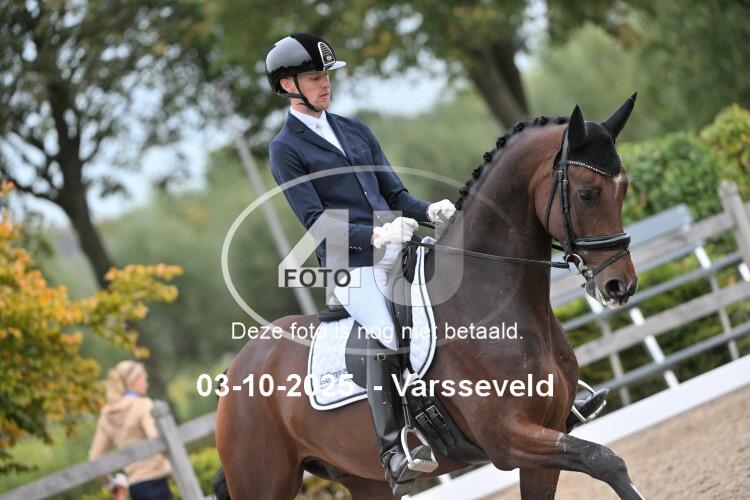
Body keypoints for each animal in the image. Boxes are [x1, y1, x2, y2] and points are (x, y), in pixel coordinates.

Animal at [214, 95, 644, 500]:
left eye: (624, 187)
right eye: (587, 194)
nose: (619, 286)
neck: (486, 298)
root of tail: (234, 370)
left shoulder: (548, 431)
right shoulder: (509, 439)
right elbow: (605, 459)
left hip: (363, 480)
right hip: (263, 481)